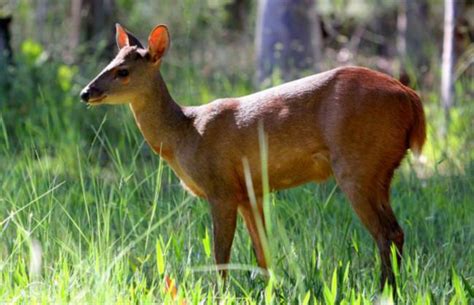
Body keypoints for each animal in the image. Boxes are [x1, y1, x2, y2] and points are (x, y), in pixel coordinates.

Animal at [79, 23, 428, 288]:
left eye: (123, 71)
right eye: (107, 63)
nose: (85, 92)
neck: (185, 135)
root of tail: (412, 99)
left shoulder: (220, 188)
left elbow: (221, 256)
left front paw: (220, 294)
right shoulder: (249, 192)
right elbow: (264, 253)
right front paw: (272, 290)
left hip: (358, 165)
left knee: (386, 233)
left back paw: (382, 290)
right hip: (381, 170)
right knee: (396, 232)